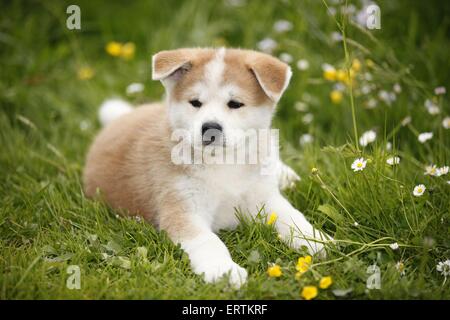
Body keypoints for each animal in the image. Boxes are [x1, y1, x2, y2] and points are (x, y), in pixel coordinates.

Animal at [84, 47, 330, 288]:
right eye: (195, 102)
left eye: (235, 104)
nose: (210, 127)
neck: (222, 163)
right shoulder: (184, 209)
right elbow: (209, 242)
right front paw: (224, 271)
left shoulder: (264, 199)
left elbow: (293, 218)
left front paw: (317, 241)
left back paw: (287, 176)